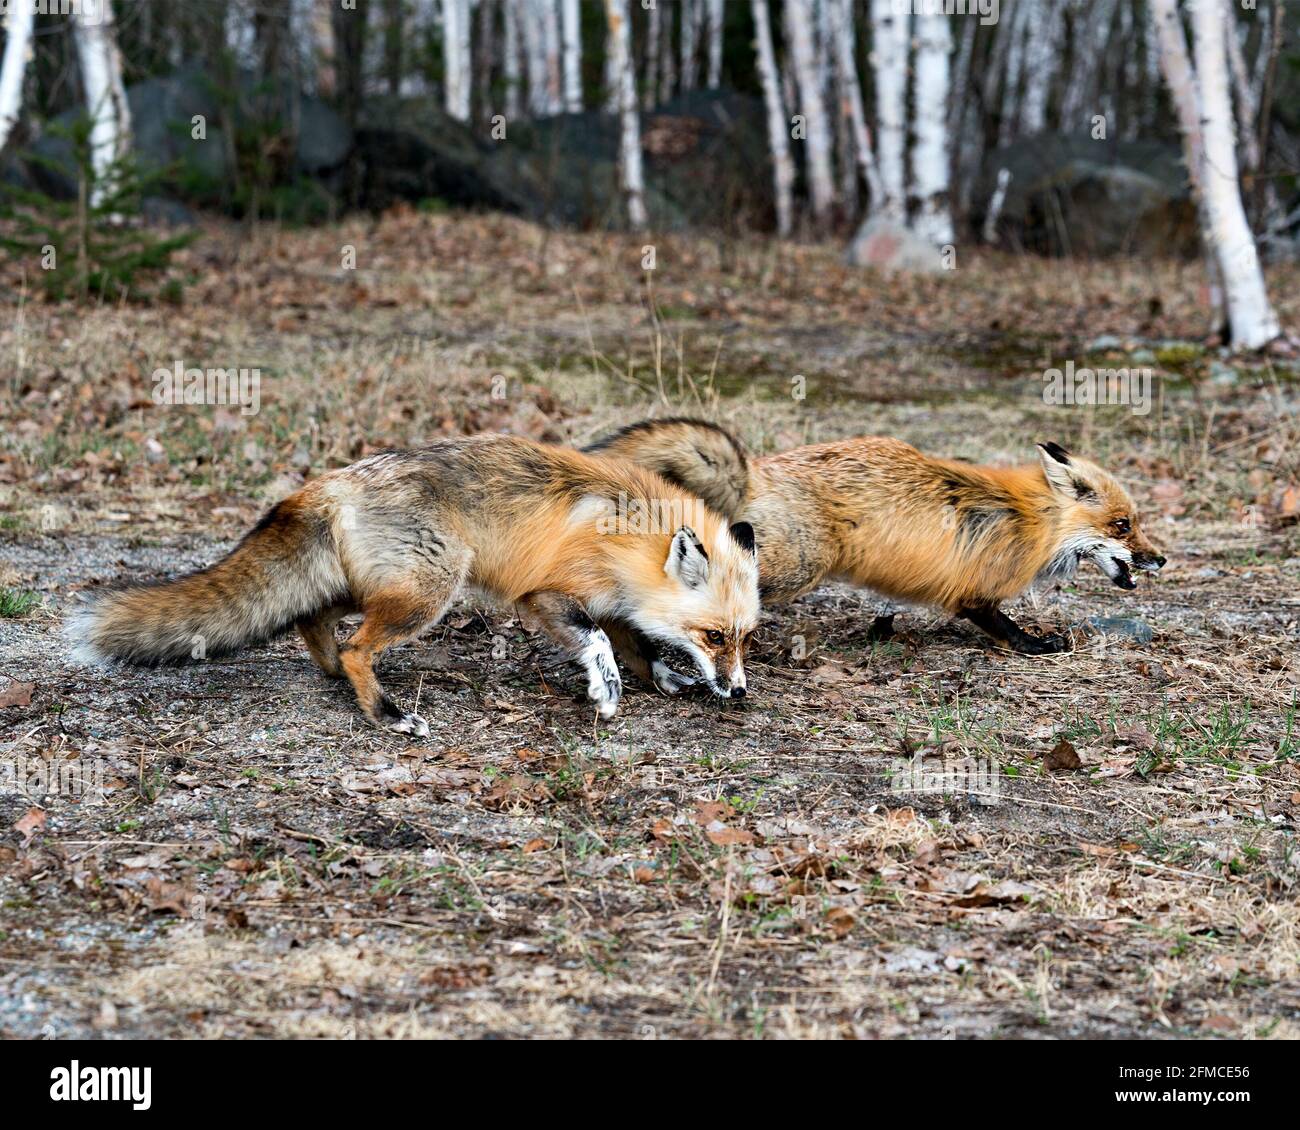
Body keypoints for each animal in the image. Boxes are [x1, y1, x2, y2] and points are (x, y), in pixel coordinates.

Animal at [590, 418, 1170, 652]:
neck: (1034, 520)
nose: (1161, 560)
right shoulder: (975, 592)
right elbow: (1004, 626)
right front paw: (1035, 645)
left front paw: (882, 628)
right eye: (1123, 525)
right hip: (795, 567)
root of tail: (755, 469)